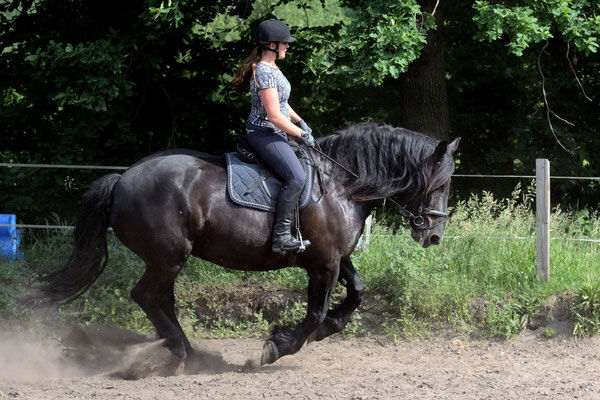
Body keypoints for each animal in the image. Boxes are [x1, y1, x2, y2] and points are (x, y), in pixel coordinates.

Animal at [32, 122, 460, 368]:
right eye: (439, 184)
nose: (434, 236)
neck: (341, 185)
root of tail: (122, 179)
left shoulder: (336, 258)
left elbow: (356, 293)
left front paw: (326, 330)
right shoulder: (323, 262)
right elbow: (317, 312)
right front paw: (278, 347)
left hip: (167, 260)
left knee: (161, 299)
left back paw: (185, 351)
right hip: (168, 256)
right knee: (147, 296)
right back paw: (182, 353)